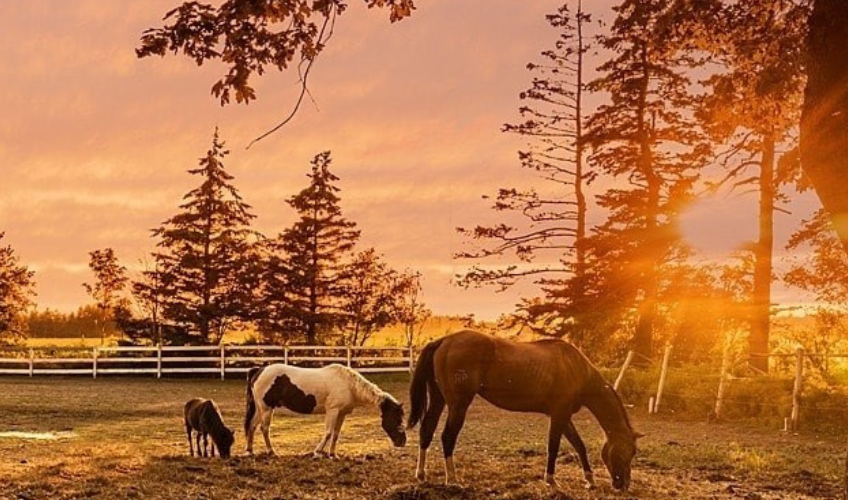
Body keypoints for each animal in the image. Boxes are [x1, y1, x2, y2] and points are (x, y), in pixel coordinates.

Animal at [245, 364, 408, 458]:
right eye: (396, 418)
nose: (402, 442)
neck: (349, 385)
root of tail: (259, 370)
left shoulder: (342, 413)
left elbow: (335, 434)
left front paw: (333, 454)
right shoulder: (332, 411)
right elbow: (328, 433)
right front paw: (317, 452)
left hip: (260, 409)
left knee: (252, 426)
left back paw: (250, 451)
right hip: (266, 408)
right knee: (264, 428)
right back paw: (272, 452)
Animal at [408, 330, 640, 490]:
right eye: (626, 451)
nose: (624, 484)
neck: (575, 367)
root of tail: (444, 341)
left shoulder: (563, 416)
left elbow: (579, 445)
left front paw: (589, 480)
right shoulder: (559, 416)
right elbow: (553, 446)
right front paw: (551, 480)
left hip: (439, 400)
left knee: (427, 430)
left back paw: (421, 474)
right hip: (458, 405)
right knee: (447, 437)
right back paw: (453, 480)